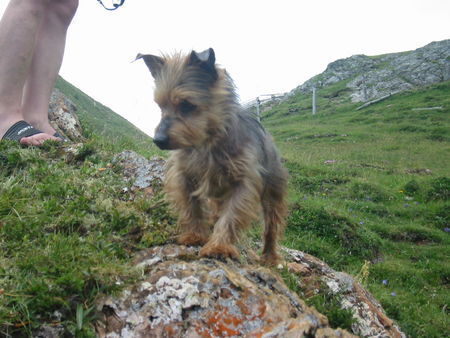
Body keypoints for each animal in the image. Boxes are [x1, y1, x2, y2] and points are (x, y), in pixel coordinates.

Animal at [135, 48, 288, 264]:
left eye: (186, 104)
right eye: (160, 105)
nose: (158, 140)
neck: (207, 142)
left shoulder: (243, 183)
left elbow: (231, 216)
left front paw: (219, 246)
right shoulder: (184, 176)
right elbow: (192, 208)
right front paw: (195, 235)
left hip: (272, 193)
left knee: (271, 226)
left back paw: (269, 256)